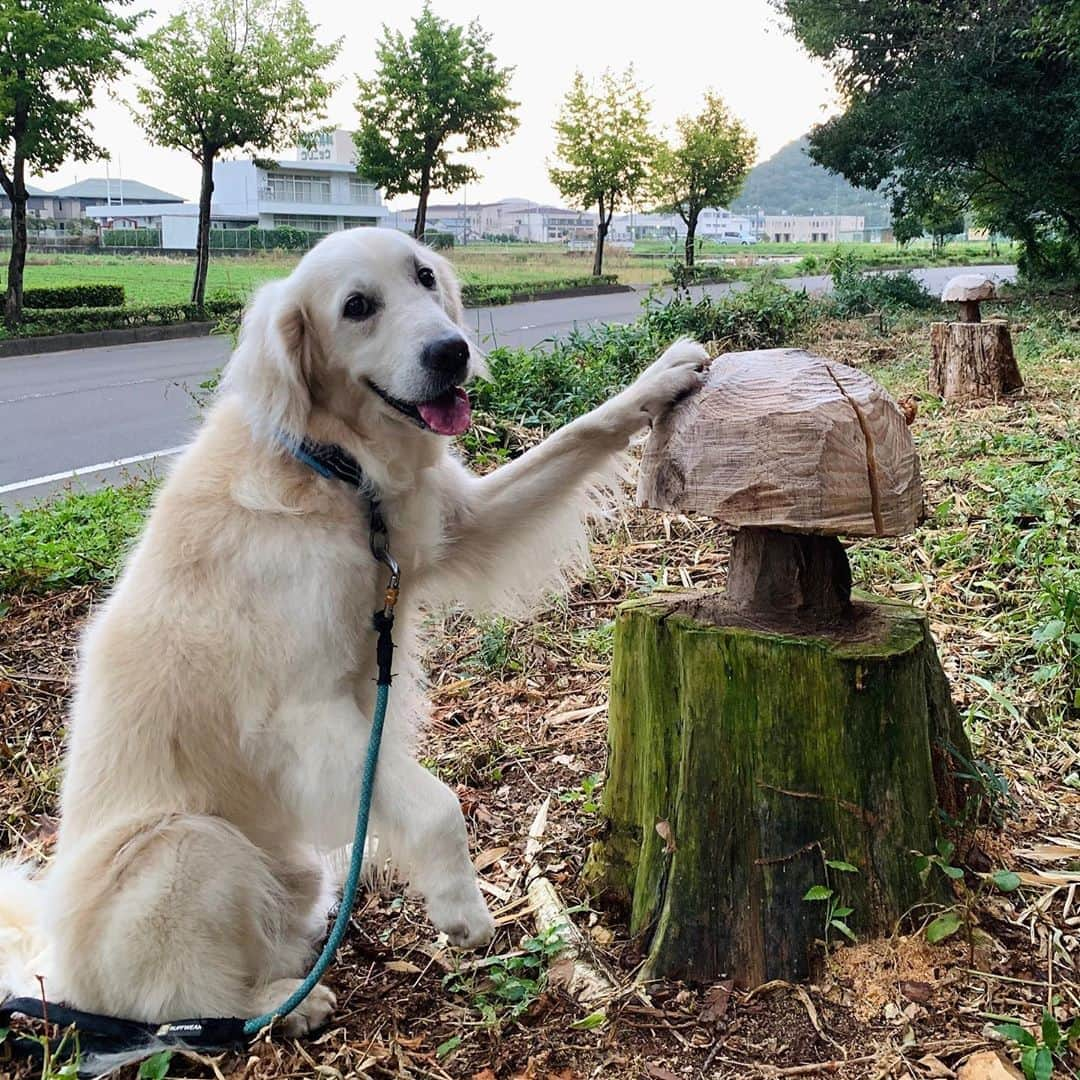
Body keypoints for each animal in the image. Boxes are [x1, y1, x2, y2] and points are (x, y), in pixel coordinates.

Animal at [0, 225, 708, 1036]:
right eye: (358, 307)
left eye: (425, 277)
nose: (451, 351)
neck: (336, 471)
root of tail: (49, 968)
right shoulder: (303, 713)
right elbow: (435, 803)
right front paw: (463, 913)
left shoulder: (461, 526)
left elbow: (575, 434)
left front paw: (661, 380)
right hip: (181, 843)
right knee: (176, 1006)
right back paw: (281, 1005)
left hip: (283, 869)